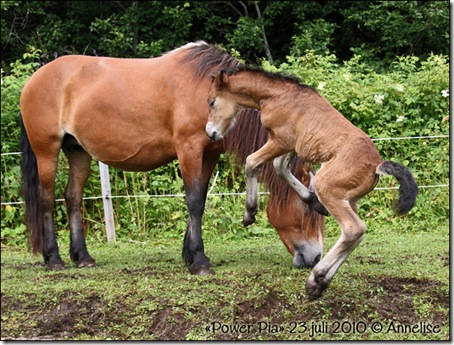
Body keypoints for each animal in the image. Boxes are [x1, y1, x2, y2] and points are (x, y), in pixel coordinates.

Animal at [19, 41, 324, 272]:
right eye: (308, 208)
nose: (316, 257)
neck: (207, 93)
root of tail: (34, 79)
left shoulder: (209, 153)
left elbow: (200, 199)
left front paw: (189, 254)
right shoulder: (189, 149)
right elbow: (193, 202)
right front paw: (199, 261)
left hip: (78, 151)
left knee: (72, 198)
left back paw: (82, 257)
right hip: (47, 149)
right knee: (47, 199)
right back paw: (54, 258)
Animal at [206, 66, 418, 298]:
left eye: (212, 102)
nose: (211, 133)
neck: (277, 95)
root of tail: (376, 167)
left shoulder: (280, 140)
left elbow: (252, 162)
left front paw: (249, 213)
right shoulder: (293, 145)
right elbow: (280, 167)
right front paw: (312, 200)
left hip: (328, 188)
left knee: (353, 229)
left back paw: (316, 277)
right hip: (349, 200)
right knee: (356, 234)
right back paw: (320, 284)